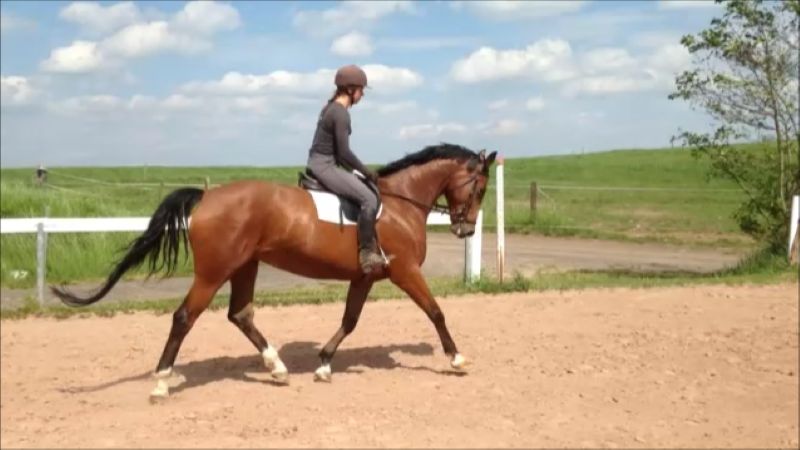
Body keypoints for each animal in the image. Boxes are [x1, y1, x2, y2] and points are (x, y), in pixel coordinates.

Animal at [52, 143, 498, 401]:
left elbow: (350, 320)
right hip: (213, 273)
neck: (398, 204)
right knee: (184, 317)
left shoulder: (364, 278)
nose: (466, 229)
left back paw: (277, 368)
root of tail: (207, 196)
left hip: (244, 266)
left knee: (240, 314)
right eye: (479, 187)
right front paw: (456, 359)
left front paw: (323, 363)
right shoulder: (404, 271)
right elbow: (435, 311)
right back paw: (162, 382)